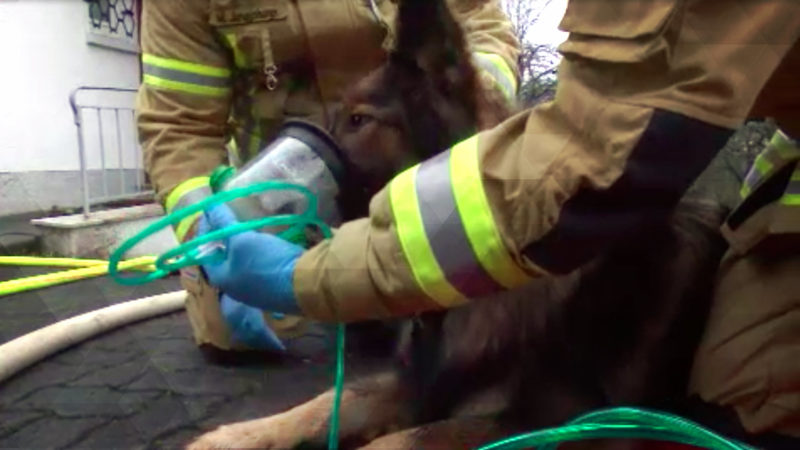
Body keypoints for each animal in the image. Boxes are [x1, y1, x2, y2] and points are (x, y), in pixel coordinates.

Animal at [186, 0, 732, 446]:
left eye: (360, 120)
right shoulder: (418, 382)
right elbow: (325, 403)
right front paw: (229, 437)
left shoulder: (560, 422)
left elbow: (392, 441)